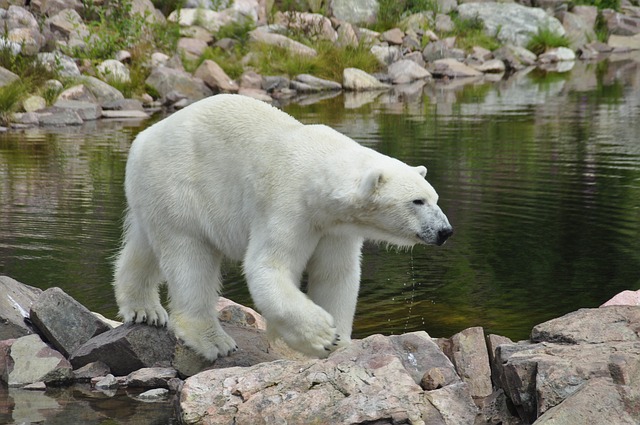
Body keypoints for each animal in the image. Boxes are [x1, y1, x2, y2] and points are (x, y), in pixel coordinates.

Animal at [112, 93, 452, 358]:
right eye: (417, 201)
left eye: (434, 198)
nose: (445, 231)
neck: (318, 175)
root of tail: (142, 139)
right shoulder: (288, 206)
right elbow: (269, 267)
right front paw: (324, 336)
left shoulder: (336, 229)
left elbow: (336, 274)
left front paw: (341, 343)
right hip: (180, 188)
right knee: (189, 258)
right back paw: (212, 340)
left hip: (154, 195)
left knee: (145, 246)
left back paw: (143, 310)